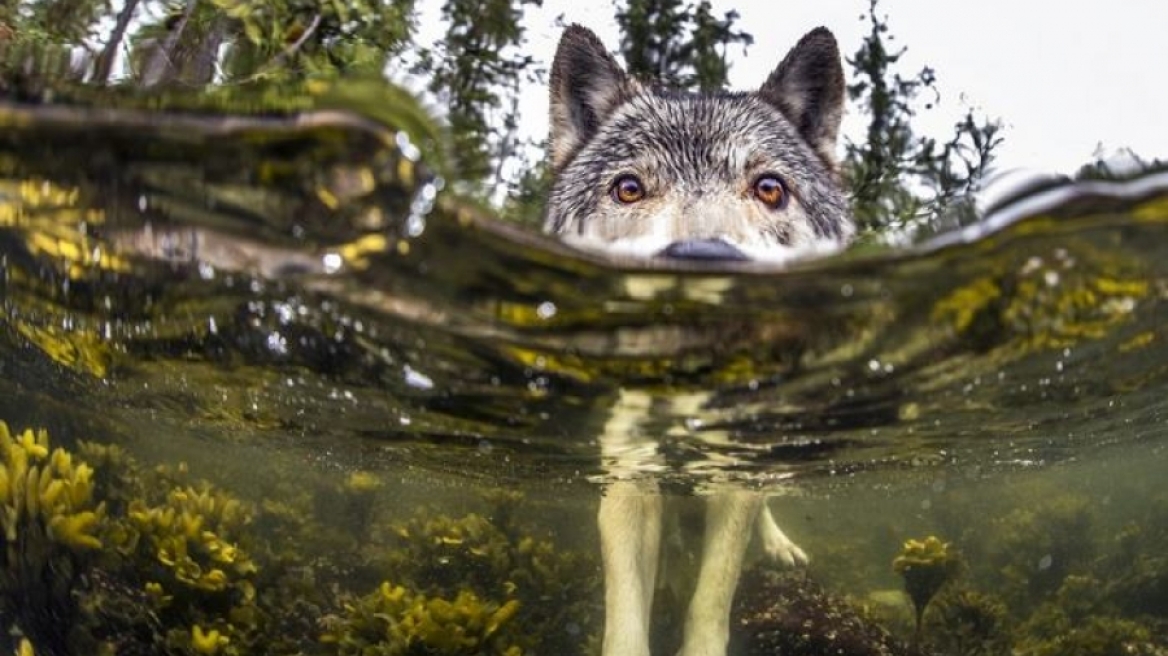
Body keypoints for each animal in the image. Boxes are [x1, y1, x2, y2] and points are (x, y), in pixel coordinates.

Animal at [541, 23, 854, 653]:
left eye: (769, 188)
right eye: (629, 189)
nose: (703, 260)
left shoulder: (732, 481)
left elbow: (711, 597)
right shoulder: (628, 482)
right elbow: (627, 615)